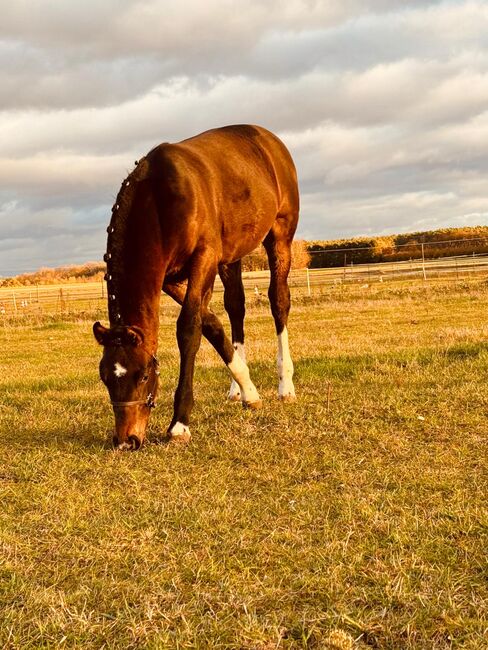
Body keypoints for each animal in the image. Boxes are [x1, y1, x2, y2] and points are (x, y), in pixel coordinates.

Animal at [91, 124, 298, 448]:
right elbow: (211, 324)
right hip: (231, 257)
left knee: (279, 301)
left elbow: (189, 328)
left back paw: (285, 385)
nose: (127, 440)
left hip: (280, 236)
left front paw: (179, 423)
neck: (159, 199)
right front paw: (248, 390)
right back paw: (237, 389)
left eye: (143, 375)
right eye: (105, 377)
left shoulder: (204, 259)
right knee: (236, 307)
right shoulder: (171, 277)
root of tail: (268, 138)